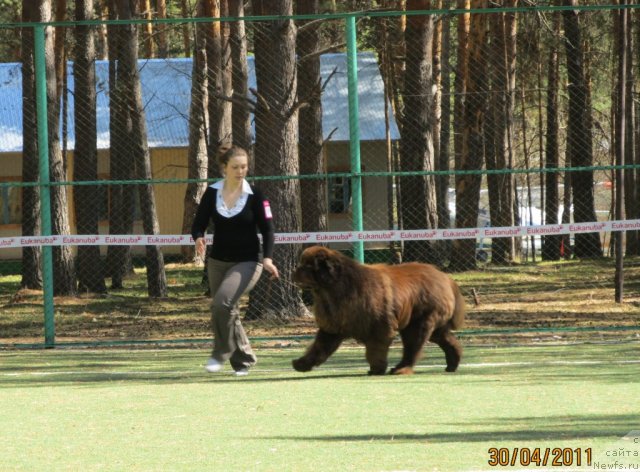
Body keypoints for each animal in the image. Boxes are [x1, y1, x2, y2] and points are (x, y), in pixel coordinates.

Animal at [292, 247, 464, 376]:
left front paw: (376, 369)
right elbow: (318, 348)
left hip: (419, 322)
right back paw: (452, 365)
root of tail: (446, 278)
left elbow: (375, 349)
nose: (294, 270)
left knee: (413, 347)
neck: (334, 289)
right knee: (448, 340)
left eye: (307, 266)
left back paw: (401, 369)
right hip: (431, 325)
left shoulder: (379, 327)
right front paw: (301, 364)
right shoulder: (333, 327)